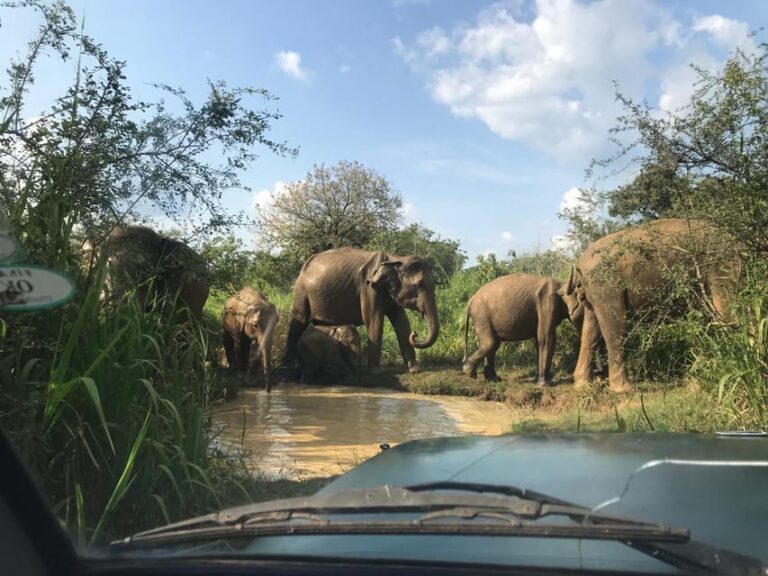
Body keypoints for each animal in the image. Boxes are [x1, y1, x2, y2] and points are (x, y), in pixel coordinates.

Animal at [282, 248, 440, 374]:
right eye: (419, 285)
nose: (416, 333)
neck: (395, 258)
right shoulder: (369, 288)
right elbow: (374, 320)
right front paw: (377, 372)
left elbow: (401, 321)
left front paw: (416, 370)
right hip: (301, 289)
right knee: (299, 321)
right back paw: (289, 366)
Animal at [568, 218, 740, 394]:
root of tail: (579, 263)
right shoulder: (719, 262)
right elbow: (724, 310)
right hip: (607, 287)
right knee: (616, 328)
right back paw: (624, 389)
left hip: (595, 293)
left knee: (590, 330)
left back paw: (583, 385)